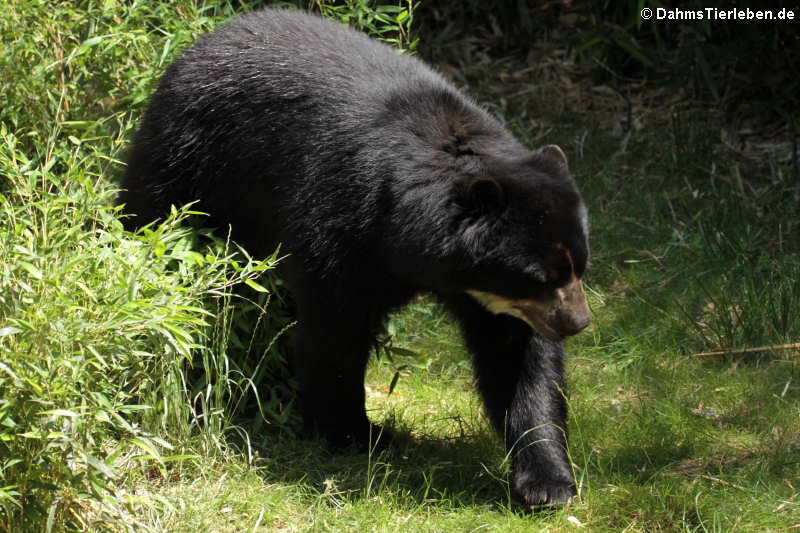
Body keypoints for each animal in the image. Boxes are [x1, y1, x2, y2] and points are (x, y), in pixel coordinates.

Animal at [120, 8, 592, 508]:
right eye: (539, 277)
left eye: (578, 267)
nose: (578, 322)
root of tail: (204, 42)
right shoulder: (343, 221)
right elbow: (334, 329)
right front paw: (355, 433)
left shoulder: (491, 301)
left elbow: (520, 361)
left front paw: (548, 483)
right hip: (189, 162)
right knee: (149, 215)